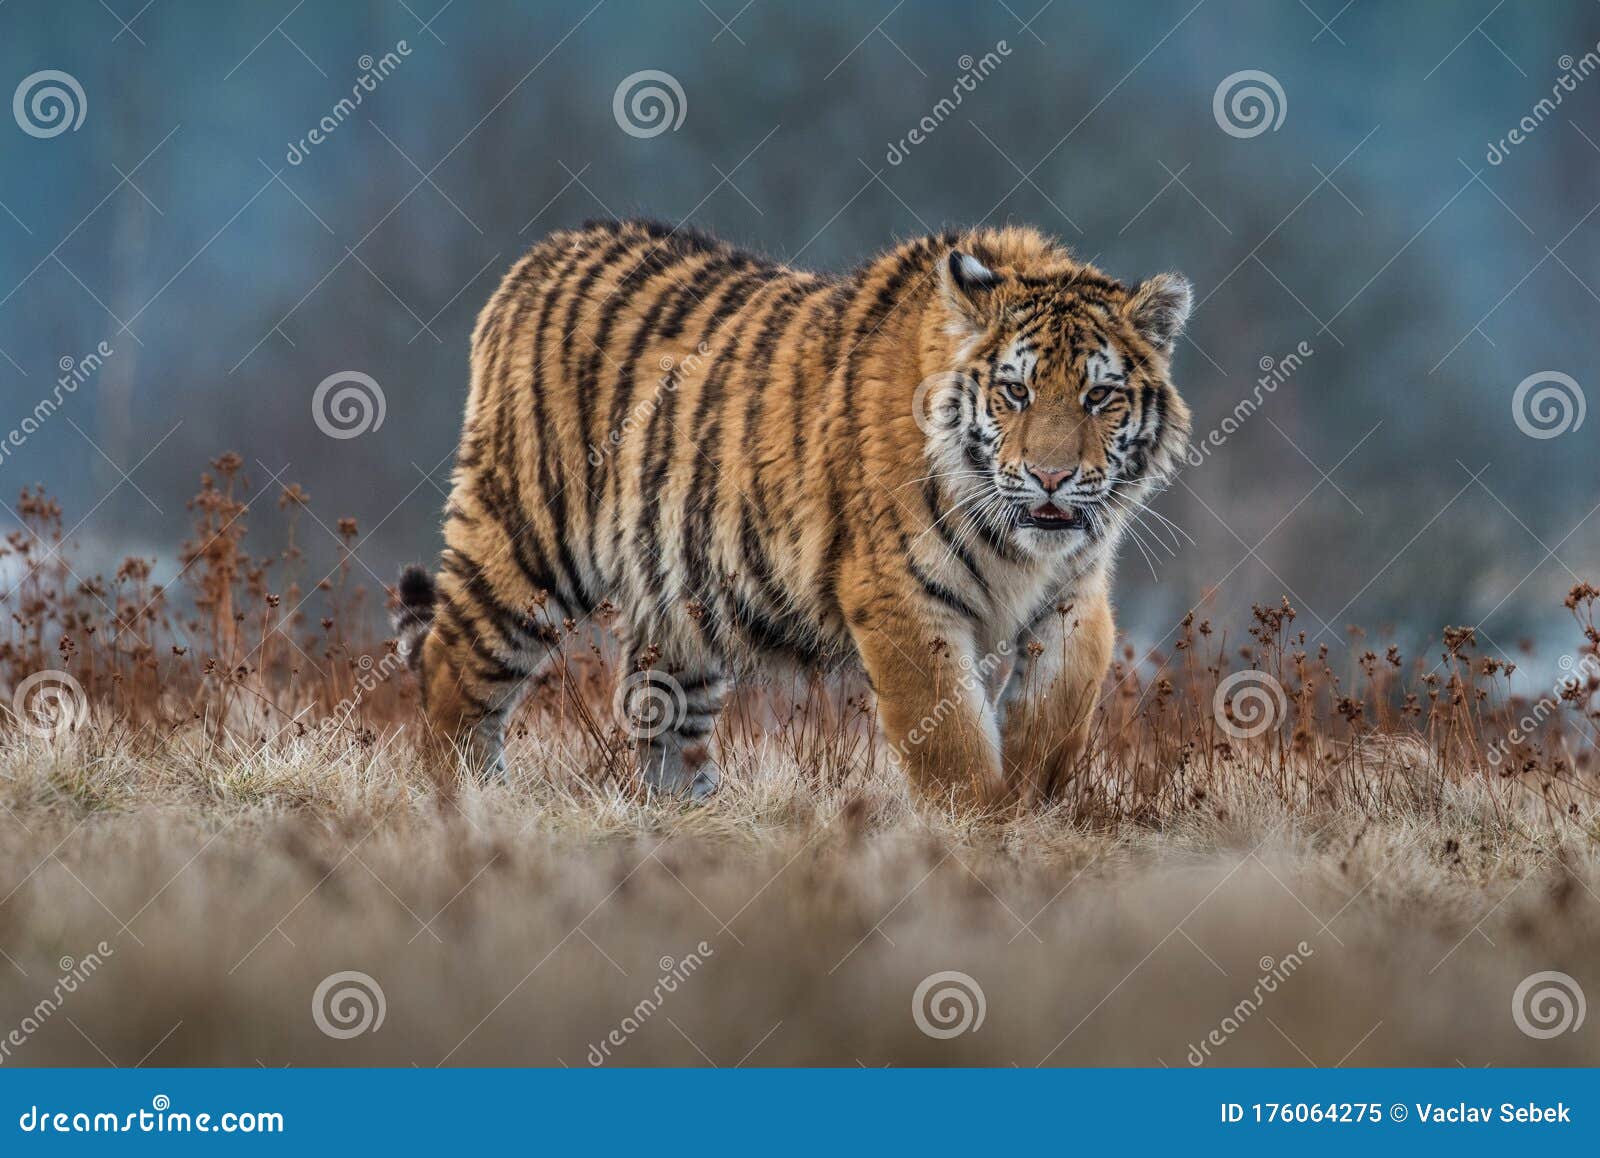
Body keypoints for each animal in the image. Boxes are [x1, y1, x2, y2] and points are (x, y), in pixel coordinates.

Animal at [395, 214, 1196, 806]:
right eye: (1016, 392)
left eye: (1099, 396)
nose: (1051, 477)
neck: (1018, 547)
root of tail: (540, 255)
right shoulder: (902, 596)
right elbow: (948, 737)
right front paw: (981, 825)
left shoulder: (1074, 591)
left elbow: (1061, 703)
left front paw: (1030, 794)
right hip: (526, 542)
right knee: (451, 667)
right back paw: (471, 803)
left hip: (681, 600)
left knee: (656, 714)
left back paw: (687, 814)